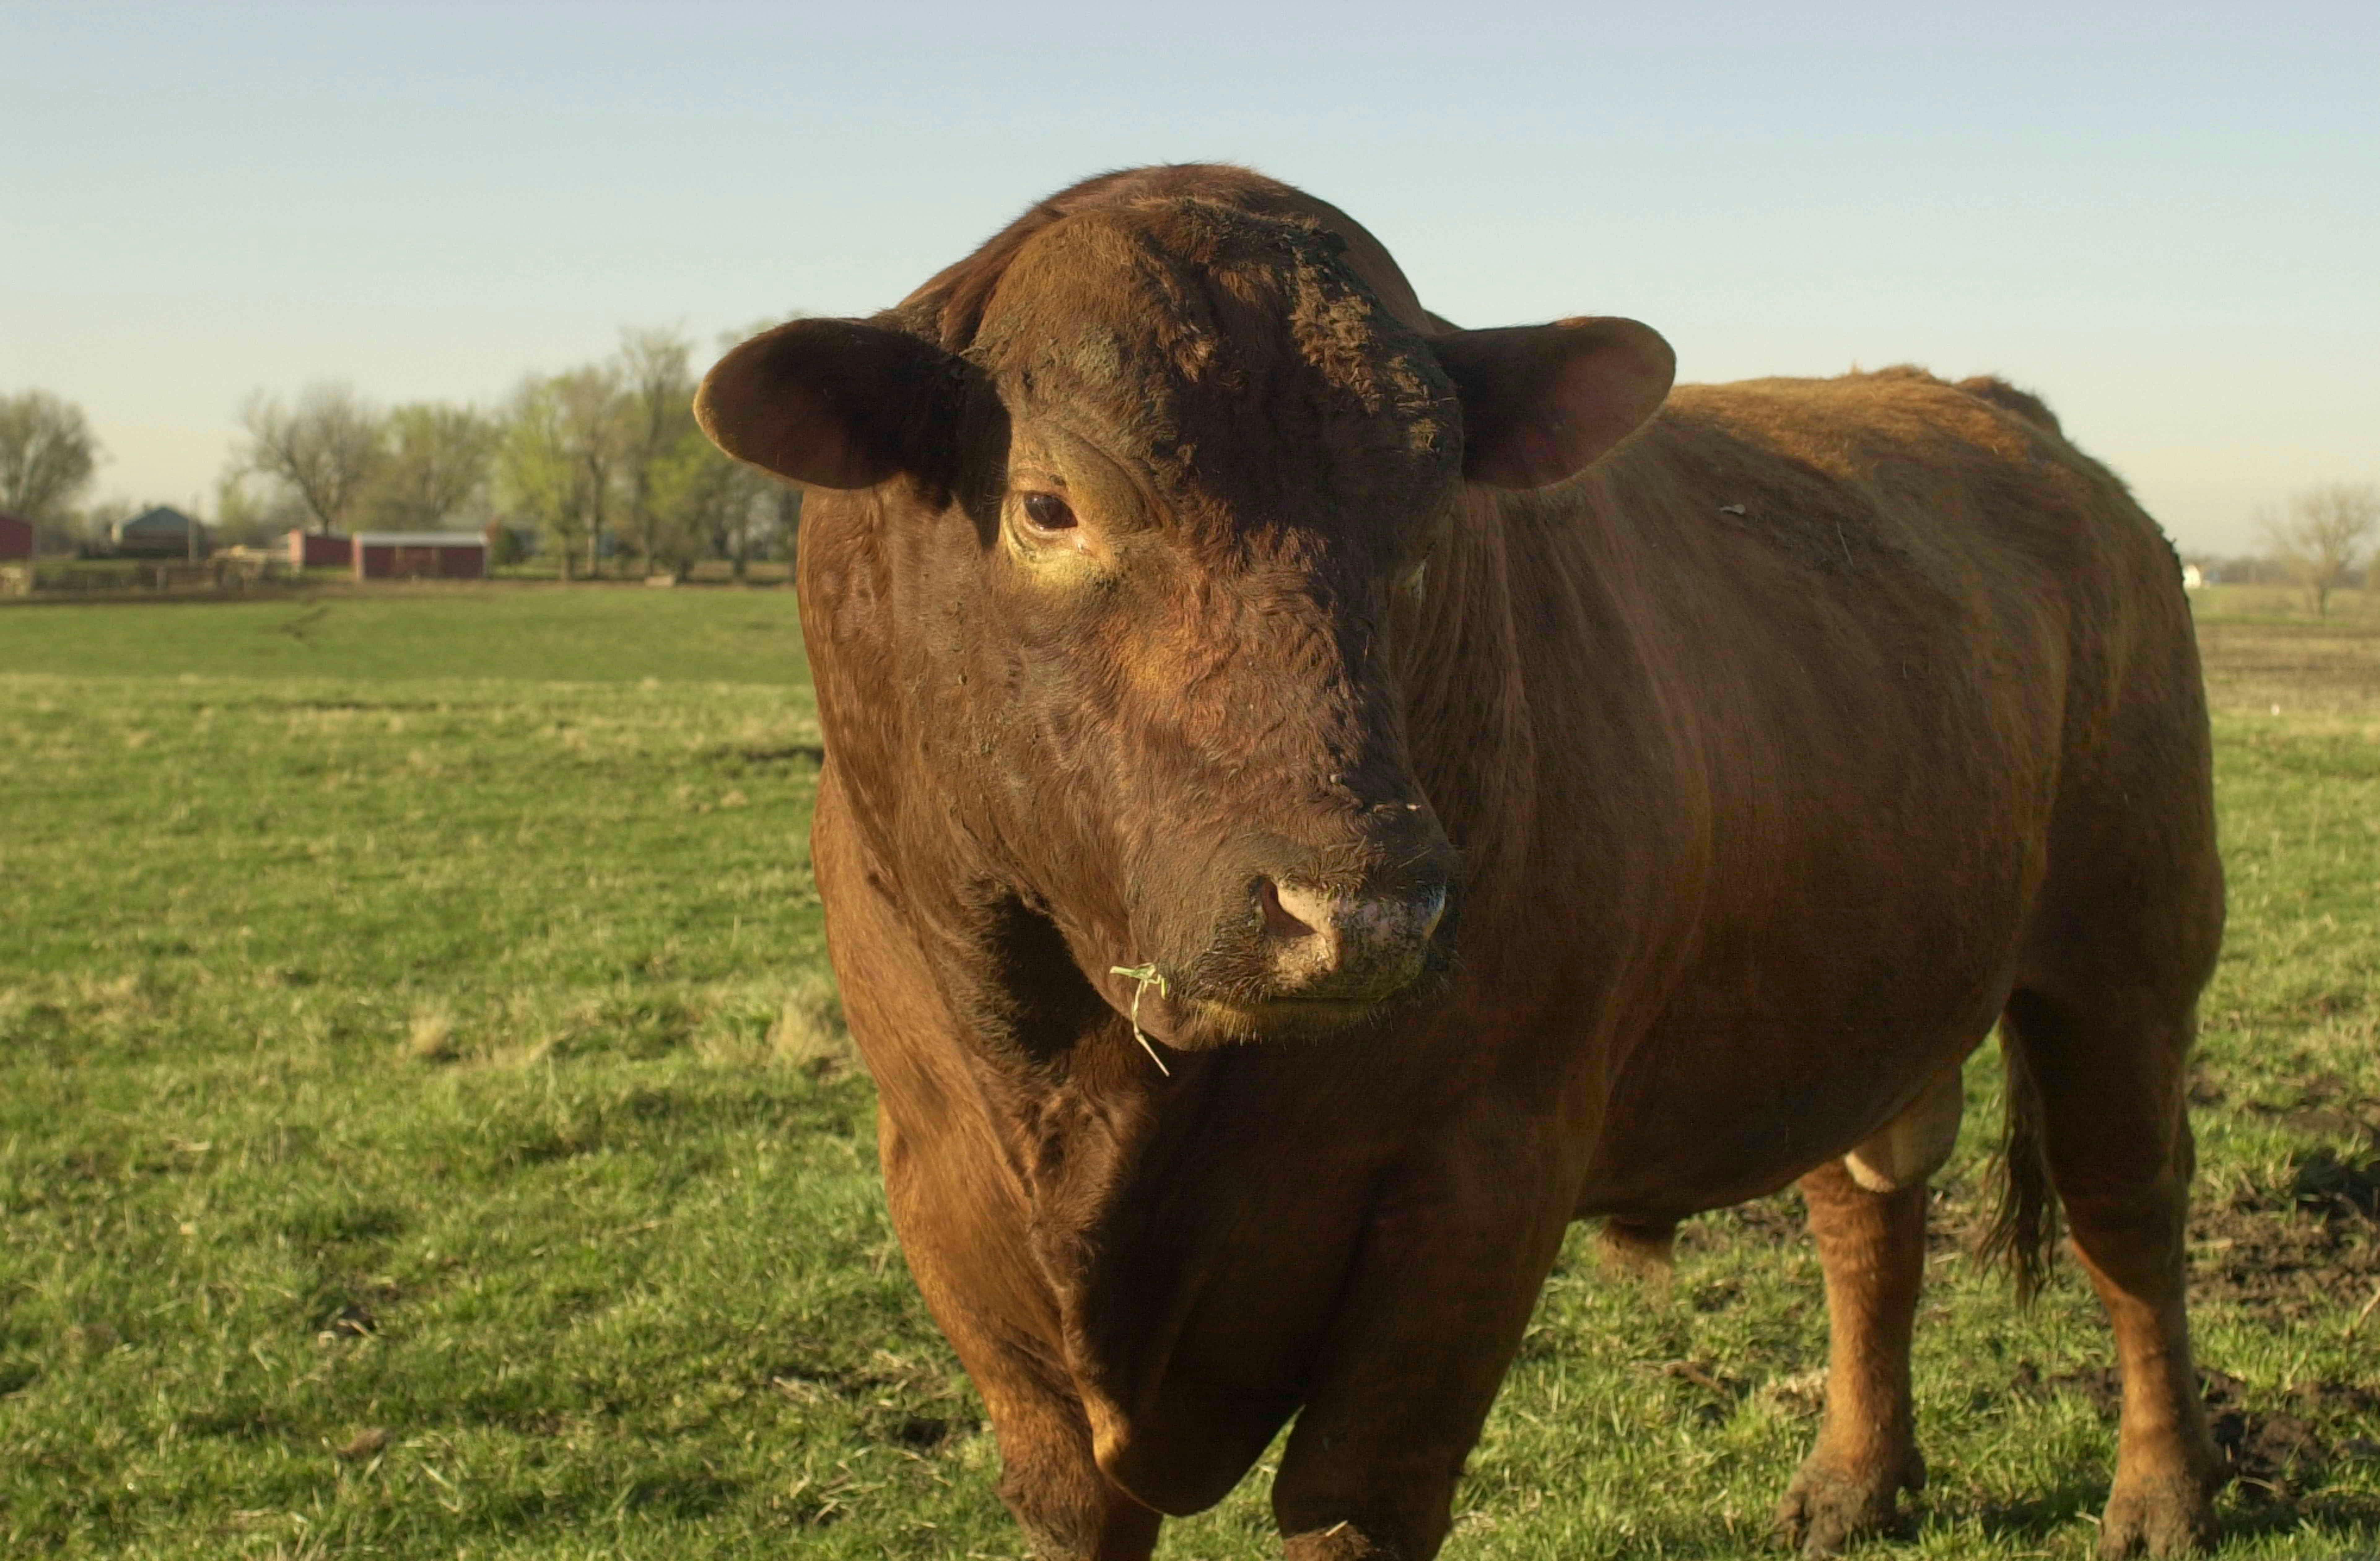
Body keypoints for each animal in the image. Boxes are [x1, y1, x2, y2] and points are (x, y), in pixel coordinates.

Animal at [695, 164, 2218, 1551]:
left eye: (1428, 519)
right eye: (1046, 505)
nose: (1364, 910)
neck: (1100, 1092)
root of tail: (1999, 413)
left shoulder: (1476, 1178)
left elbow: (1356, 1499)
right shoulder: (948, 1189)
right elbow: (1077, 1503)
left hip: (2128, 959)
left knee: (2129, 1217)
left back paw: (2161, 1498)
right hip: (1855, 987)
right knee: (1867, 1211)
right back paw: (1852, 1483)